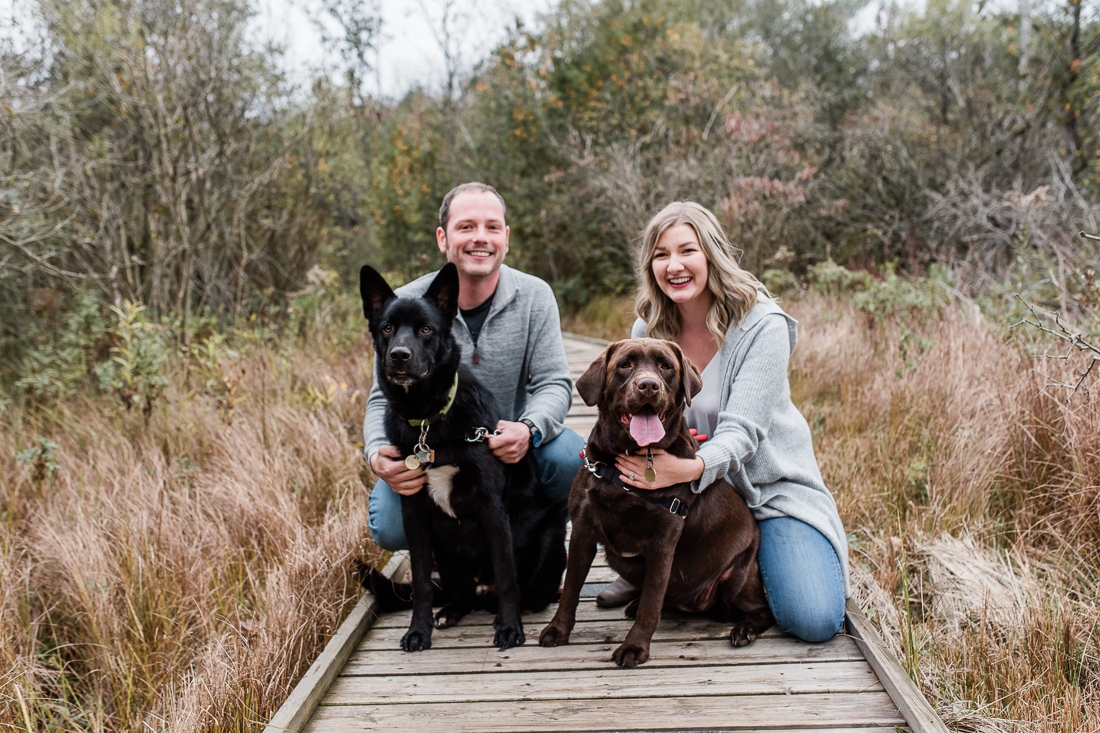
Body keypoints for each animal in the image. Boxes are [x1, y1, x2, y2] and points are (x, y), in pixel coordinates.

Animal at [360, 264, 567, 651]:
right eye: (387, 328)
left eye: (426, 329)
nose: (399, 356)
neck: (429, 419)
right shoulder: (414, 513)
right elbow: (422, 583)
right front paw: (418, 630)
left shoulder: (491, 507)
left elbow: (506, 575)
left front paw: (510, 628)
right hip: (445, 549)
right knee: (463, 593)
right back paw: (452, 610)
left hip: (549, 537)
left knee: (517, 590)